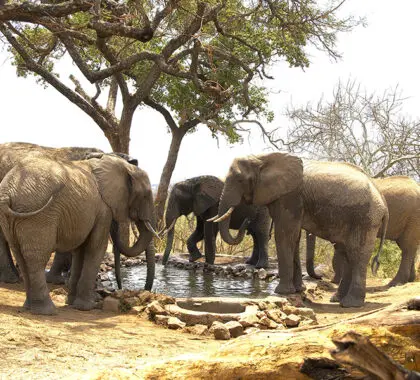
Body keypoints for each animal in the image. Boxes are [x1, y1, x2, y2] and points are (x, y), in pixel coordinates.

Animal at [0, 152, 158, 314]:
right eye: (146, 196)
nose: (145, 291)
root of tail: (7, 194)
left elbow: (80, 251)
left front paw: (72, 304)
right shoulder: (103, 210)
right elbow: (96, 248)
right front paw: (87, 307)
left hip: (12, 218)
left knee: (20, 255)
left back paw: (29, 307)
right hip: (37, 216)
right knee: (37, 259)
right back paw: (47, 311)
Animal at [212, 153, 388, 308]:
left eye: (240, 180)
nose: (247, 220)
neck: (263, 157)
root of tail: (383, 204)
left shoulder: (290, 196)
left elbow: (284, 235)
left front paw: (282, 292)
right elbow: (293, 238)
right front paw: (297, 290)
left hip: (366, 219)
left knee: (357, 254)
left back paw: (350, 304)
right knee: (348, 253)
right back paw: (338, 300)